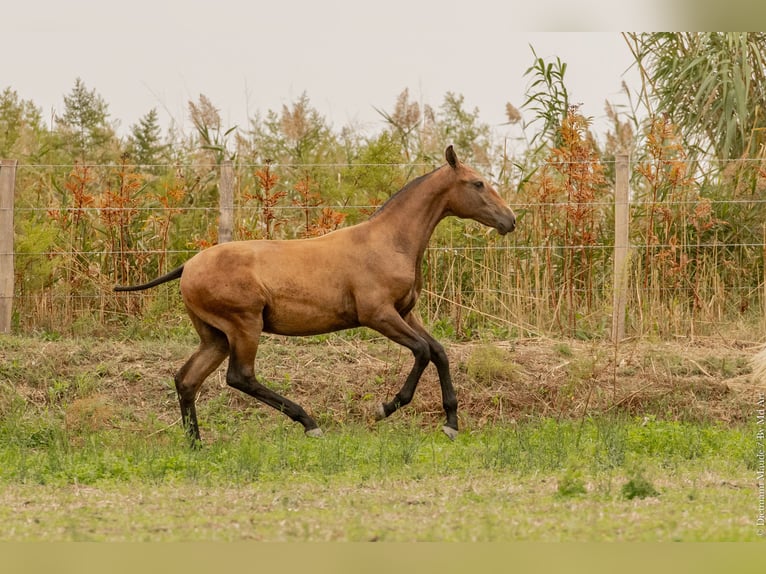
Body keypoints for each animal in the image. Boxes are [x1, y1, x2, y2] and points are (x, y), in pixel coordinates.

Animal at [115, 145, 516, 446]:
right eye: (478, 183)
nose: (510, 220)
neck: (390, 242)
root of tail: (187, 267)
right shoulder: (378, 314)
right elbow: (422, 352)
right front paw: (385, 407)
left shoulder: (405, 312)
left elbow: (439, 352)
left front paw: (451, 423)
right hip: (243, 326)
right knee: (240, 377)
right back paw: (309, 423)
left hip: (215, 336)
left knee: (187, 380)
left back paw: (196, 444)